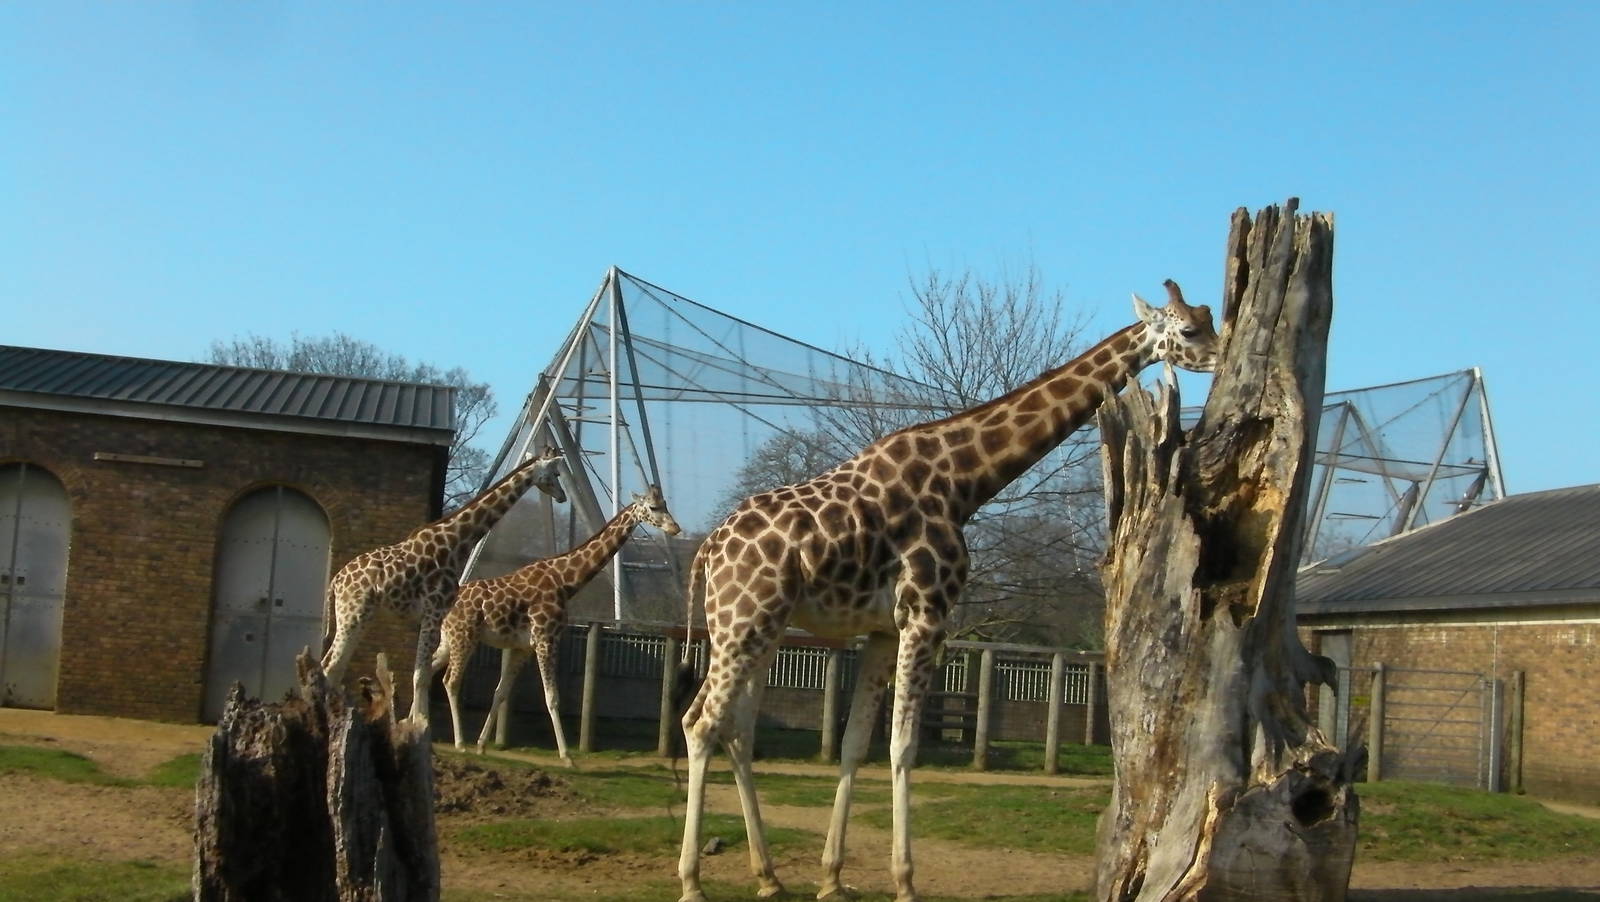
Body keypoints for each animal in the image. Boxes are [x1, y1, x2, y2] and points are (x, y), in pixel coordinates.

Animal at [319, 444, 567, 725]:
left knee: (330, 664)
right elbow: (421, 675)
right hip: (354, 613)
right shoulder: (433, 611)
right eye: (556, 473)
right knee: (332, 665)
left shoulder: (434, 615)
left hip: (357, 615)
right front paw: (421, 724)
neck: (456, 542)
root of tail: (336, 581)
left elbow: (422, 673)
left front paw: (416, 722)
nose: (562, 497)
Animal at [433, 484, 683, 761]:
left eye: (666, 504)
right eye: (653, 507)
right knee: (450, 681)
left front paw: (481, 744)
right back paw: (459, 743)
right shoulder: (546, 639)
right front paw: (566, 756)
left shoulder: (523, 647)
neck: (565, 582)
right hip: (464, 637)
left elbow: (500, 692)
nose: (675, 528)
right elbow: (552, 697)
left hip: (448, 639)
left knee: (424, 670)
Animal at [676, 281, 1220, 902]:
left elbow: (857, 743)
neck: (964, 480)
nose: (1220, 355)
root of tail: (707, 550)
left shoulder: (884, 630)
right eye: (1188, 329)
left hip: (757, 628)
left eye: (1208, 319)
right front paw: (905, 882)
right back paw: (691, 882)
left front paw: (832, 878)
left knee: (736, 729)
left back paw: (768, 877)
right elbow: (903, 745)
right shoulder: (927, 614)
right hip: (744, 621)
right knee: (701, 722)